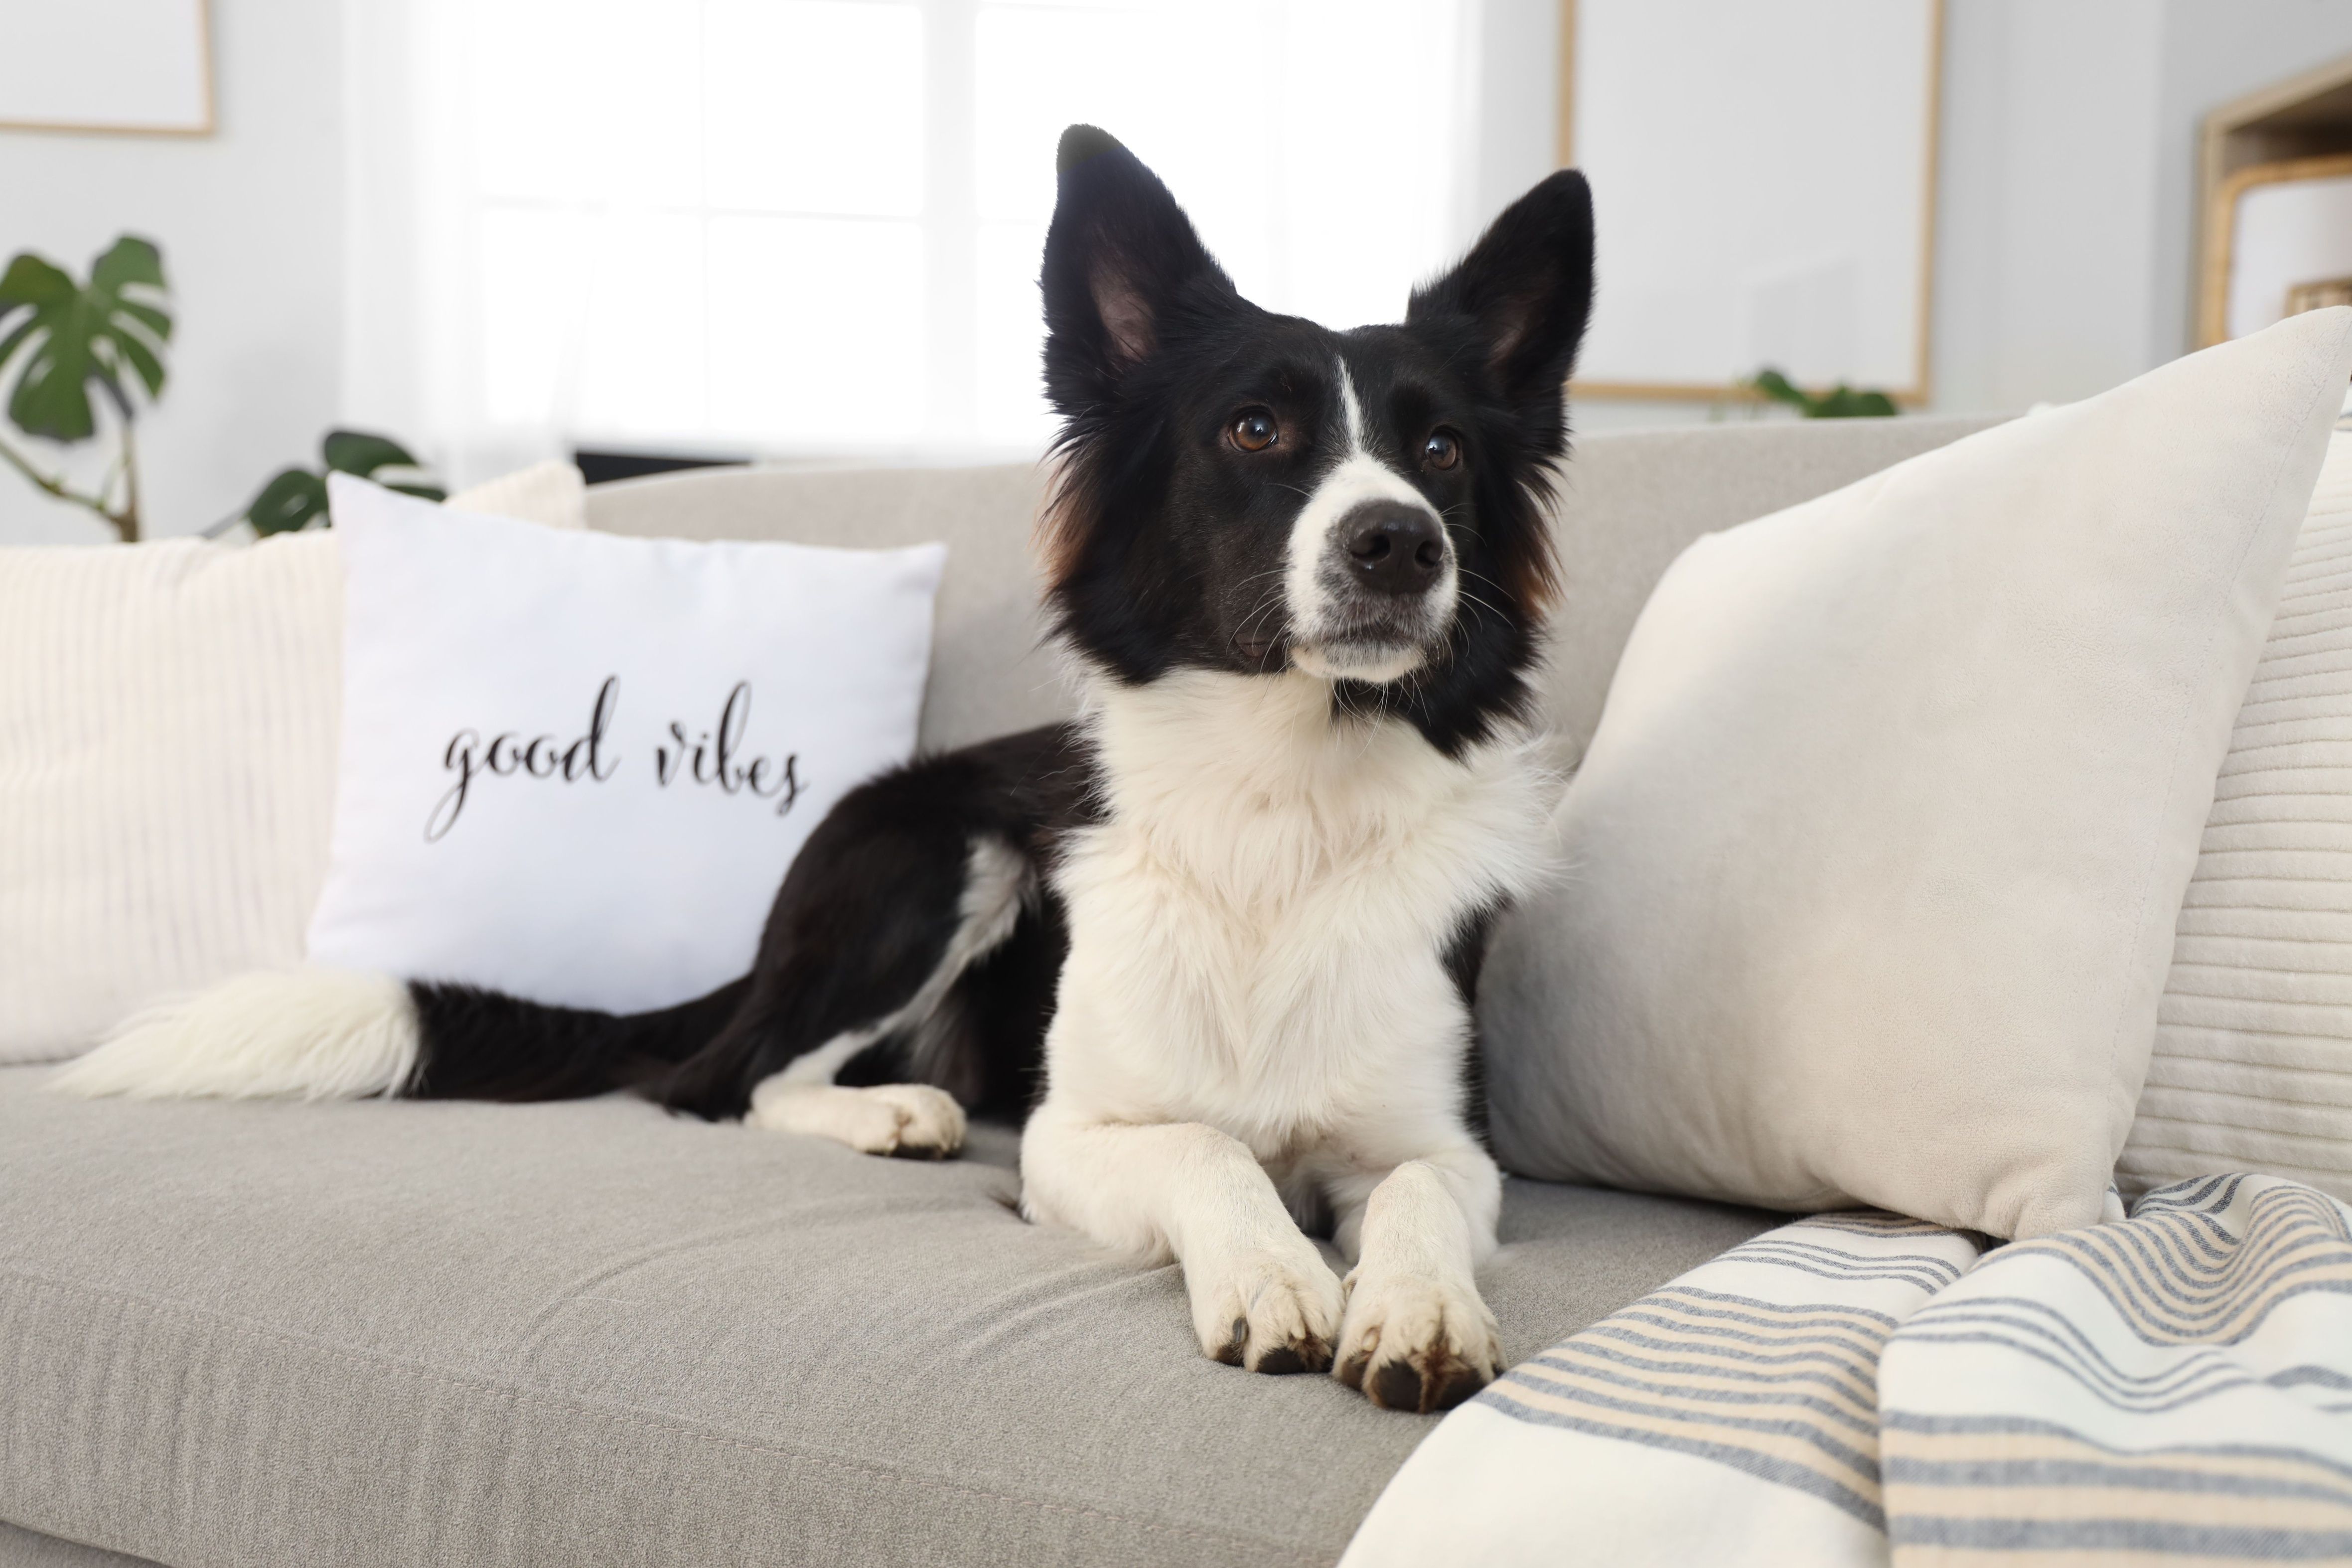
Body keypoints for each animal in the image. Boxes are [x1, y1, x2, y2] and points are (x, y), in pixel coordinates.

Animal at [59, 129, 1599, 1420]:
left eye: (1440, 448)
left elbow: (1409, 1195)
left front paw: (1416, 1310)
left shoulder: (1445, 1143)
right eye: (1256, 430)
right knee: (721, 1079)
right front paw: (1273, 1271)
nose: (1401, 545)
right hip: (937, 857)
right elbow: (1206, 1150)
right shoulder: (1067, 1139)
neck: (1279, 801)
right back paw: (889, 1111)